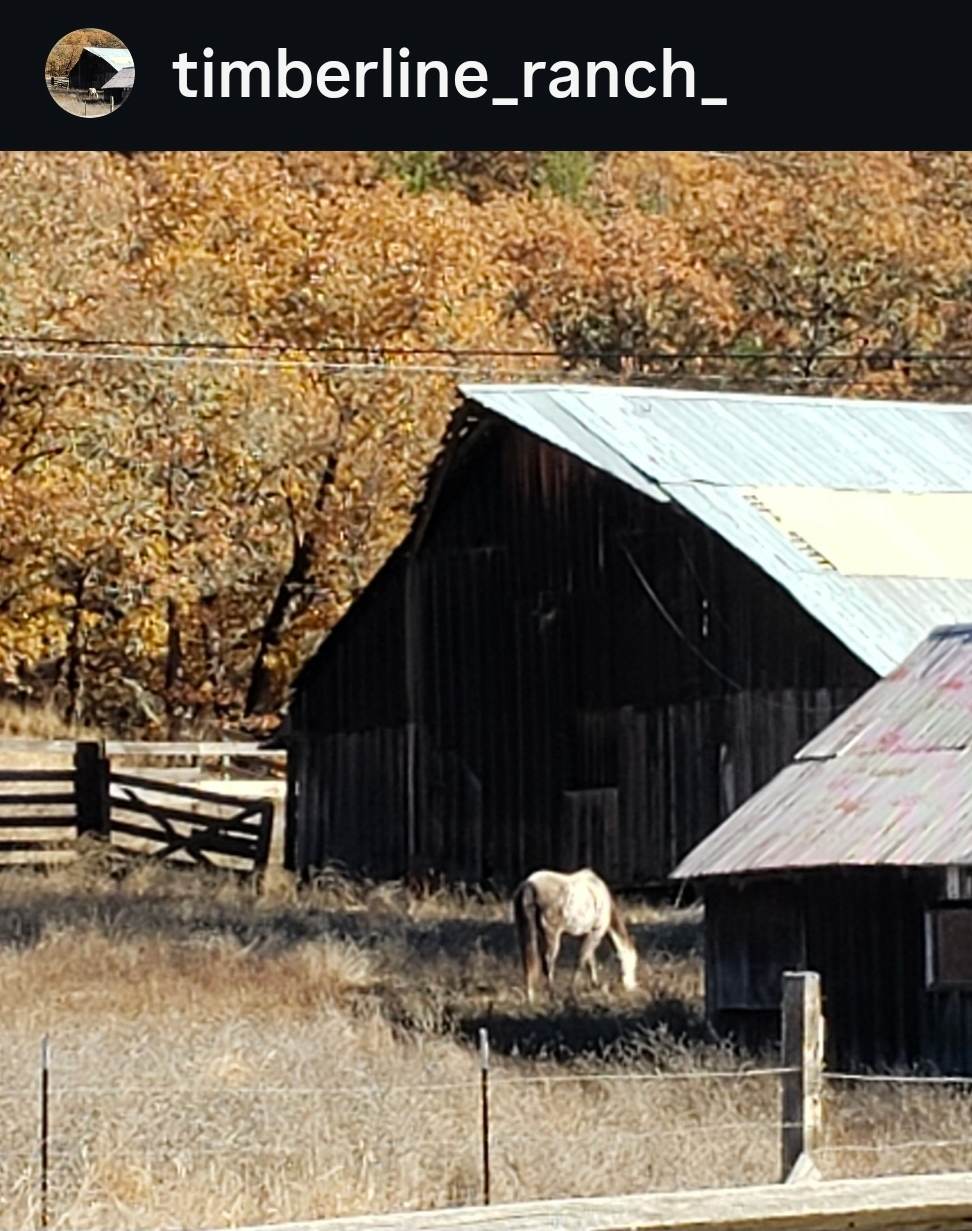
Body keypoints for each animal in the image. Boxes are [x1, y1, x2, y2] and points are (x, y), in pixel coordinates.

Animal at [512, 867, 638, 1003]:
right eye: (632, 962)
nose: (632, 987)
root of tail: (529, 885)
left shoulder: (586, 934)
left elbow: (590, 960)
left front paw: (594, 984)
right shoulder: (596, 932)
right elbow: (581, 960)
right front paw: (572, 992)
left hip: (525, 933)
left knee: (528, 962)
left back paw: (530, 998)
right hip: (552, 935)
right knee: (548, 962)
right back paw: (553, 996)